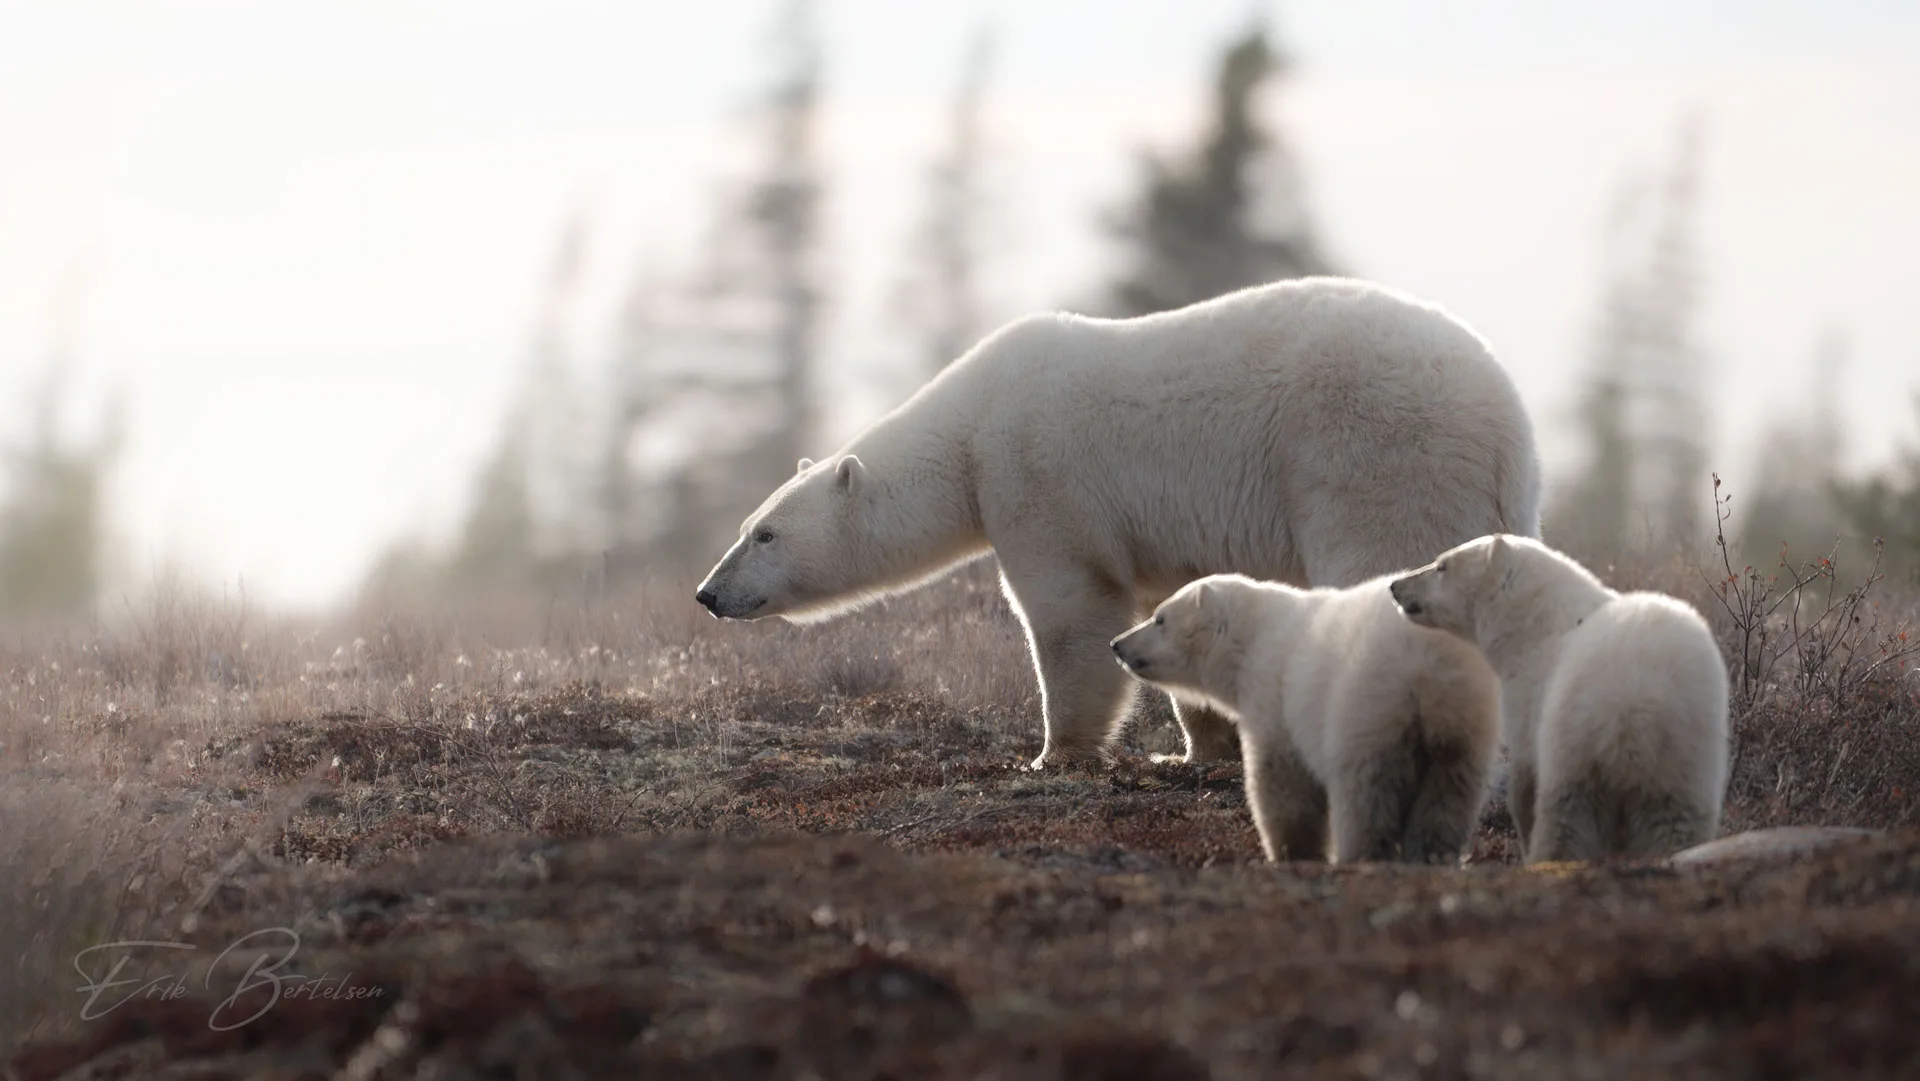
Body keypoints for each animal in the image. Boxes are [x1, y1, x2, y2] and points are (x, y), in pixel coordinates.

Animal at [693, 276, 1541, 801]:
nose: (707, 593)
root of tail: (1506, 419)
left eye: (764, 533)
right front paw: (1197, 748)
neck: (969, 426)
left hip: (1376, 458)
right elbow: (1179, 603)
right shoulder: (1169, 528)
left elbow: (1069, 611)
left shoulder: (1036, 476)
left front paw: (1052, 753)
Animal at [1109, 572, 1500, 864]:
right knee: (1450, 792)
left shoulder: (1274, 694)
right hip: (1465, 716)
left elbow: (1281, 780)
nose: (1117, 644)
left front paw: (1289, 851)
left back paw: (1358, 854)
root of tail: (1425, 664)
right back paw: (1433, 854)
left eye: (1160, 618)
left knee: (1365, 790)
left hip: (1367, 705)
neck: (1255, 636)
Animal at [1388, 534, 1729, 863]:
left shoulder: (1529, 692)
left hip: (1577, 740)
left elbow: (1525, 776)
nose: (1396, 585)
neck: (1534, 622)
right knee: (1676, 822)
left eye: (1442, 565)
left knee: (1567, 818)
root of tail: (1636, 706)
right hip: (1685, 755)